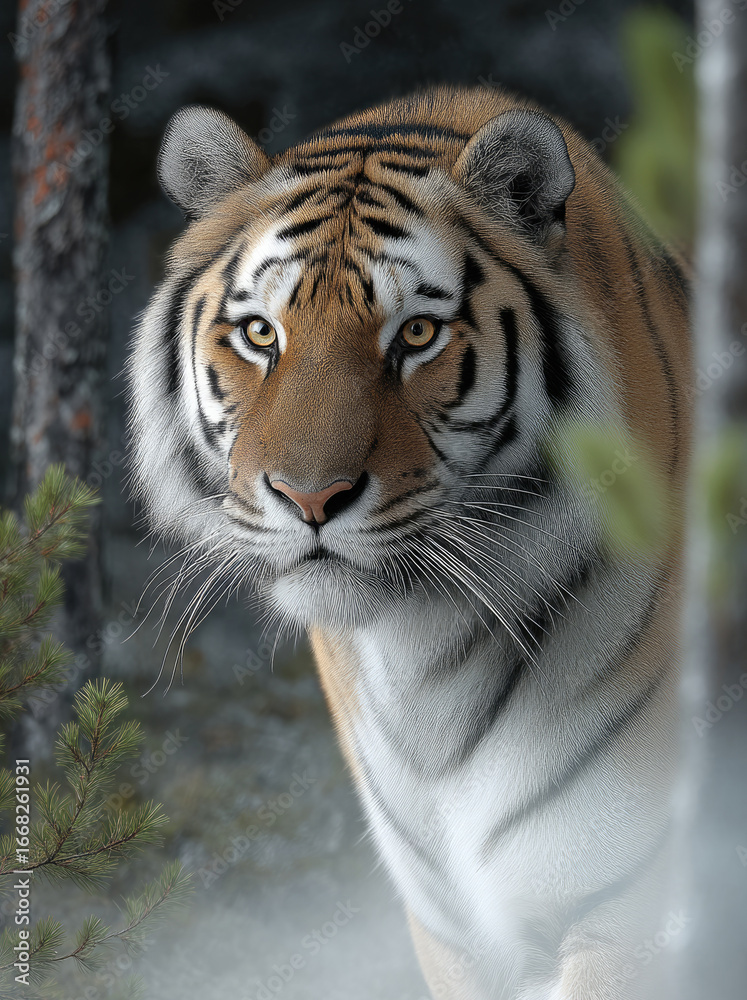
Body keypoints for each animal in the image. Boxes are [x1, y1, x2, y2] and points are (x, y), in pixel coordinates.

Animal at [126, 85, 692, 999]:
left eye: (417, 336)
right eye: (260, 335)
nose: (309, 497)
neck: (427, 656)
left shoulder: (630, 915)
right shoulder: (450, 930)